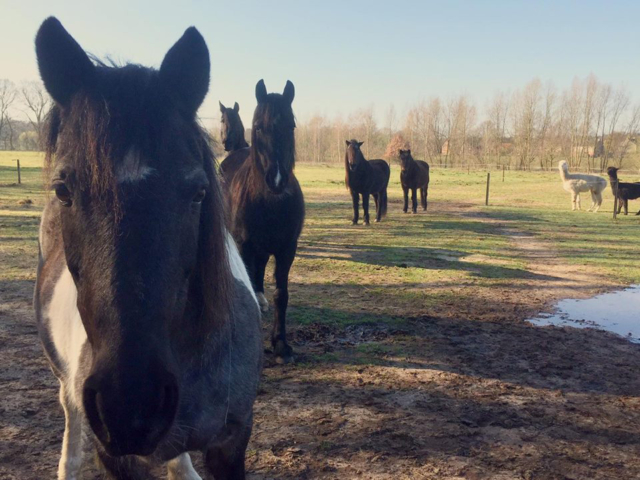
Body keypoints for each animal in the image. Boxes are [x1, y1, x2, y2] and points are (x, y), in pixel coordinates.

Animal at [31, 16, 262, 478]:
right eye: (63, 190)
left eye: (198, 192)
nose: (130, 405)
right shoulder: (117, 456)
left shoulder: (232, 442)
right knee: (69, 410)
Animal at [224, 79, 306, 364]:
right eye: (258, 127)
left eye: (291, 126)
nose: (277, 180)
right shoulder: (243, 245)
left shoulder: (286, 249)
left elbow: (281, 294)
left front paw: (280, 344)